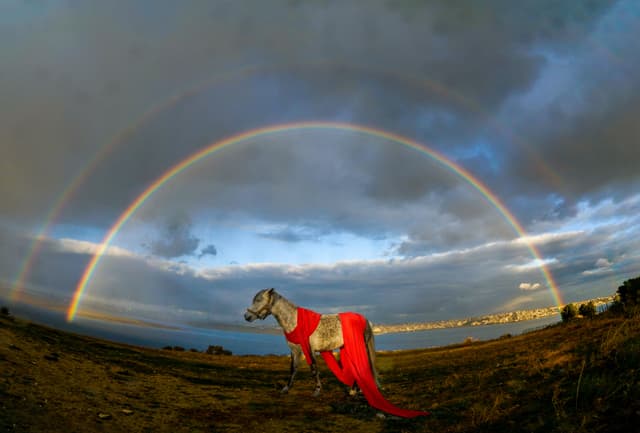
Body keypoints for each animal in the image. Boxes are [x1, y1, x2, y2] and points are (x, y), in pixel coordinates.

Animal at [243, 288, 379, 397]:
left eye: (259, 300)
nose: (246, 316)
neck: (294, 321)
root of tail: (365, 320)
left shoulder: (309, 349)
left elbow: (313, 368)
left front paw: (317, 390)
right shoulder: (295, 350)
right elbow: (293, 368)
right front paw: (286, 388)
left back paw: (356, 390)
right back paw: (354, 390)